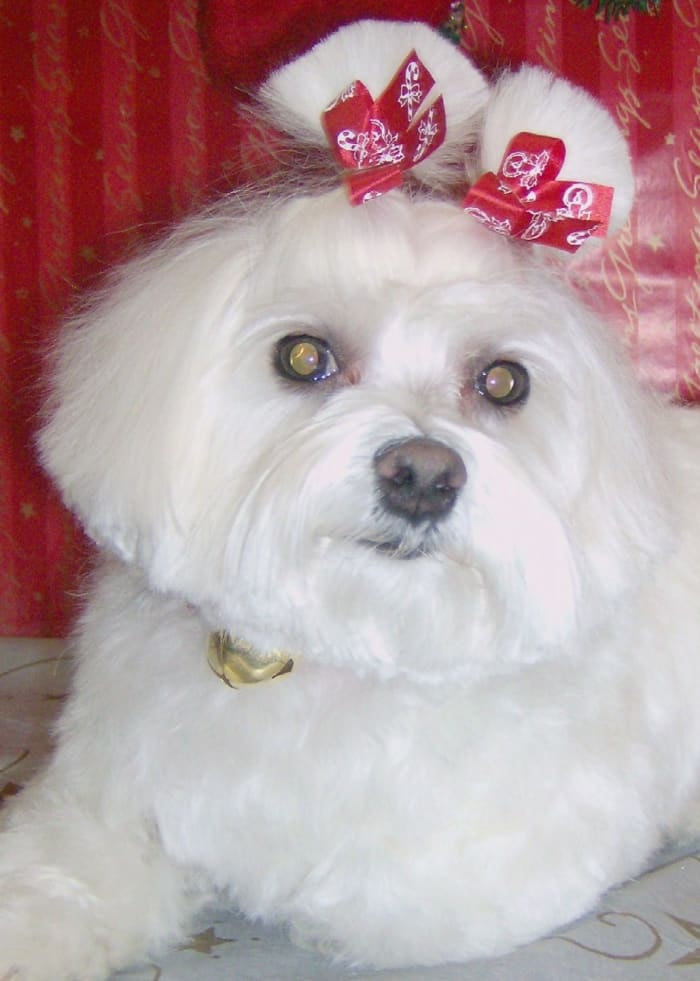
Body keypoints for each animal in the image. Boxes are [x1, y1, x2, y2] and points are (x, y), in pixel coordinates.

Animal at [1, 17, 700, 980]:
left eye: (504, 380)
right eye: (303, 356)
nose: (423, 474)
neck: (341, 645)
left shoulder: (483, 868)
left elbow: (351, 895)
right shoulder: (104, 799)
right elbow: (61, 871)